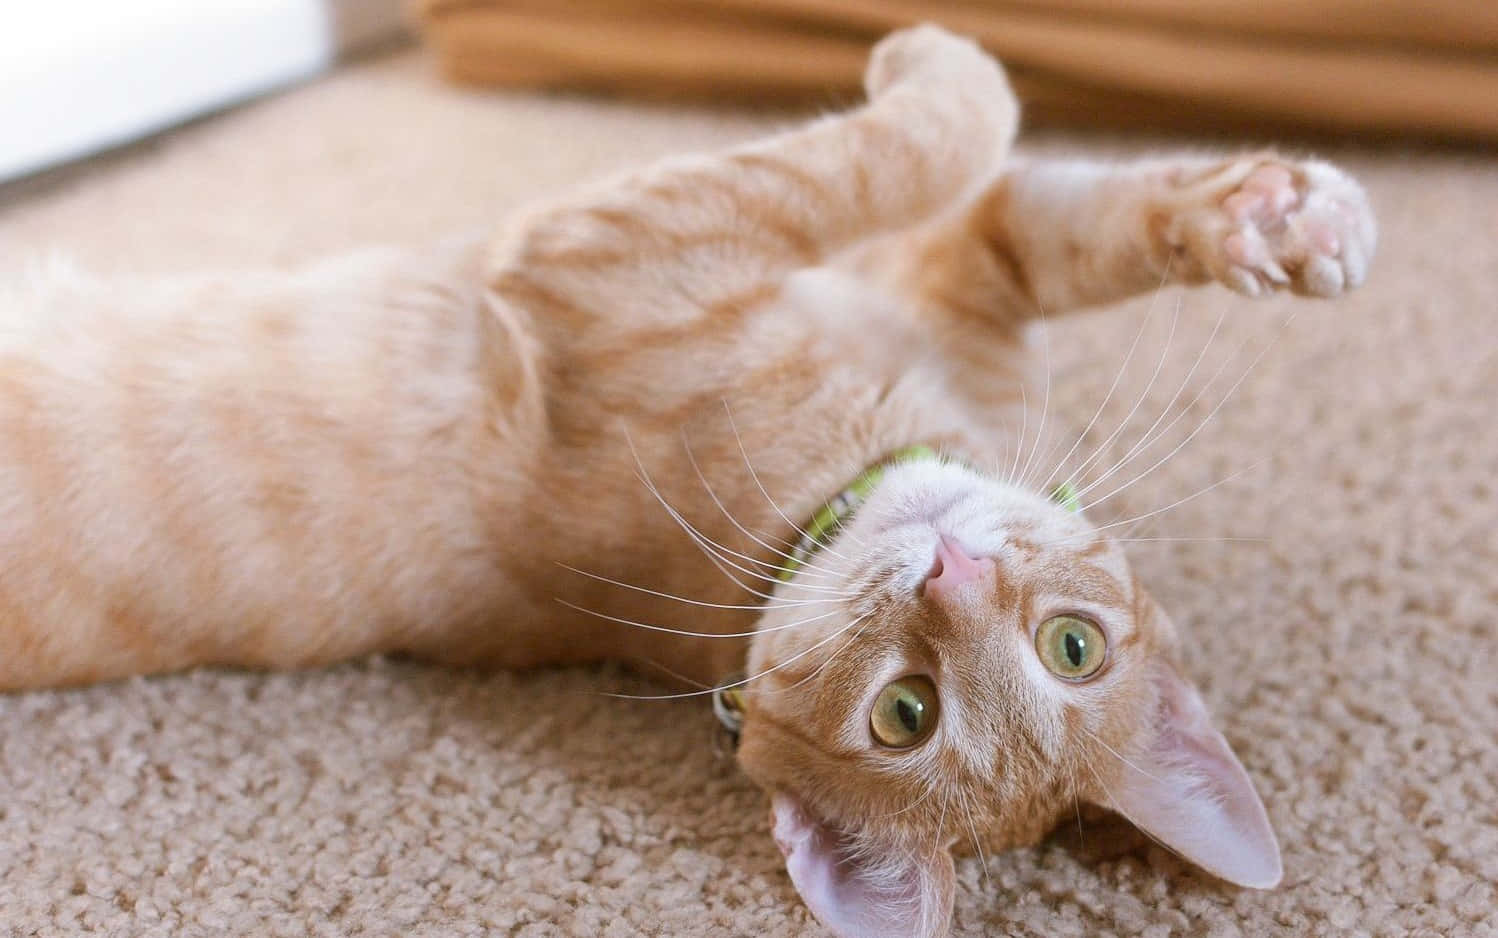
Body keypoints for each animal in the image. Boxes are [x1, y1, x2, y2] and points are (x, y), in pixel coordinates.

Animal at [0, 23, 1372, 935]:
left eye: (906, 713)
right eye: (1073, 644)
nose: (951, 569)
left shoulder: (613, 250)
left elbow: (935, 136)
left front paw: (924, 50)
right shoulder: (939, 284)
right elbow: (1014, 187)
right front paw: (1275, 218)